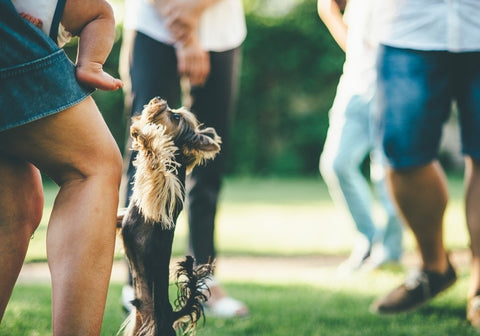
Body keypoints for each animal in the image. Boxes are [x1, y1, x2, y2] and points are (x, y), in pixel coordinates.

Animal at [119, 98, 222, 336]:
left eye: (175, 117)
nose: (160, 100)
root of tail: (171, 315)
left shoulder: (164, 191)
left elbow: (155, 162)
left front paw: (144, 136)